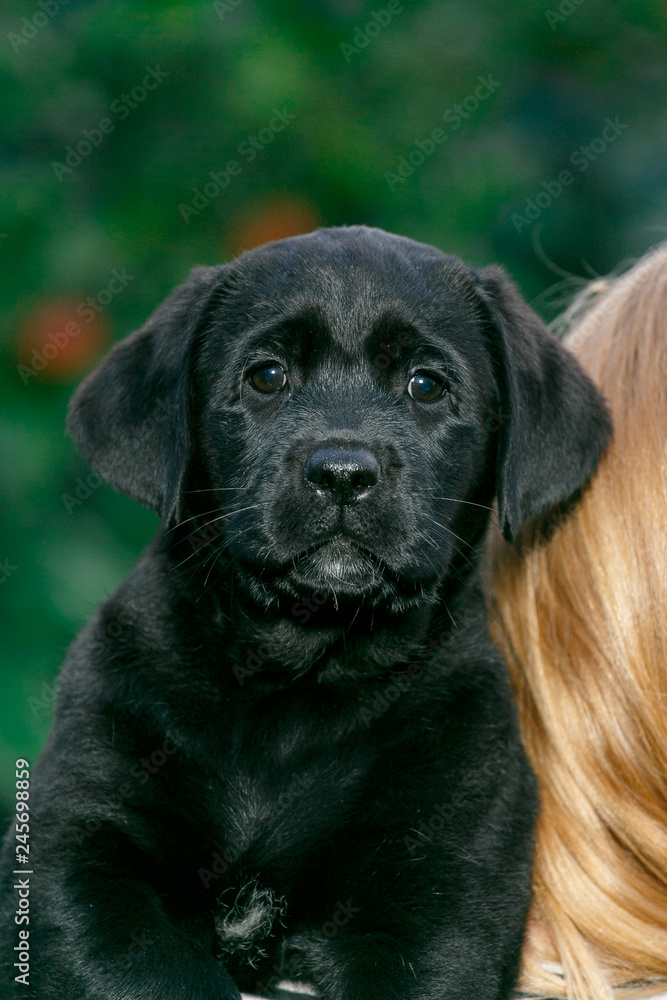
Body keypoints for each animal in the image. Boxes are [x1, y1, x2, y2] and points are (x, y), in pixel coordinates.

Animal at [0, 229, 612, 1000]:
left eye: (426, 385)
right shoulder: (81, 860)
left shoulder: (445, 894)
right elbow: (158, 977)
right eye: (266, 376)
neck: (296, 683)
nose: (342, 473)